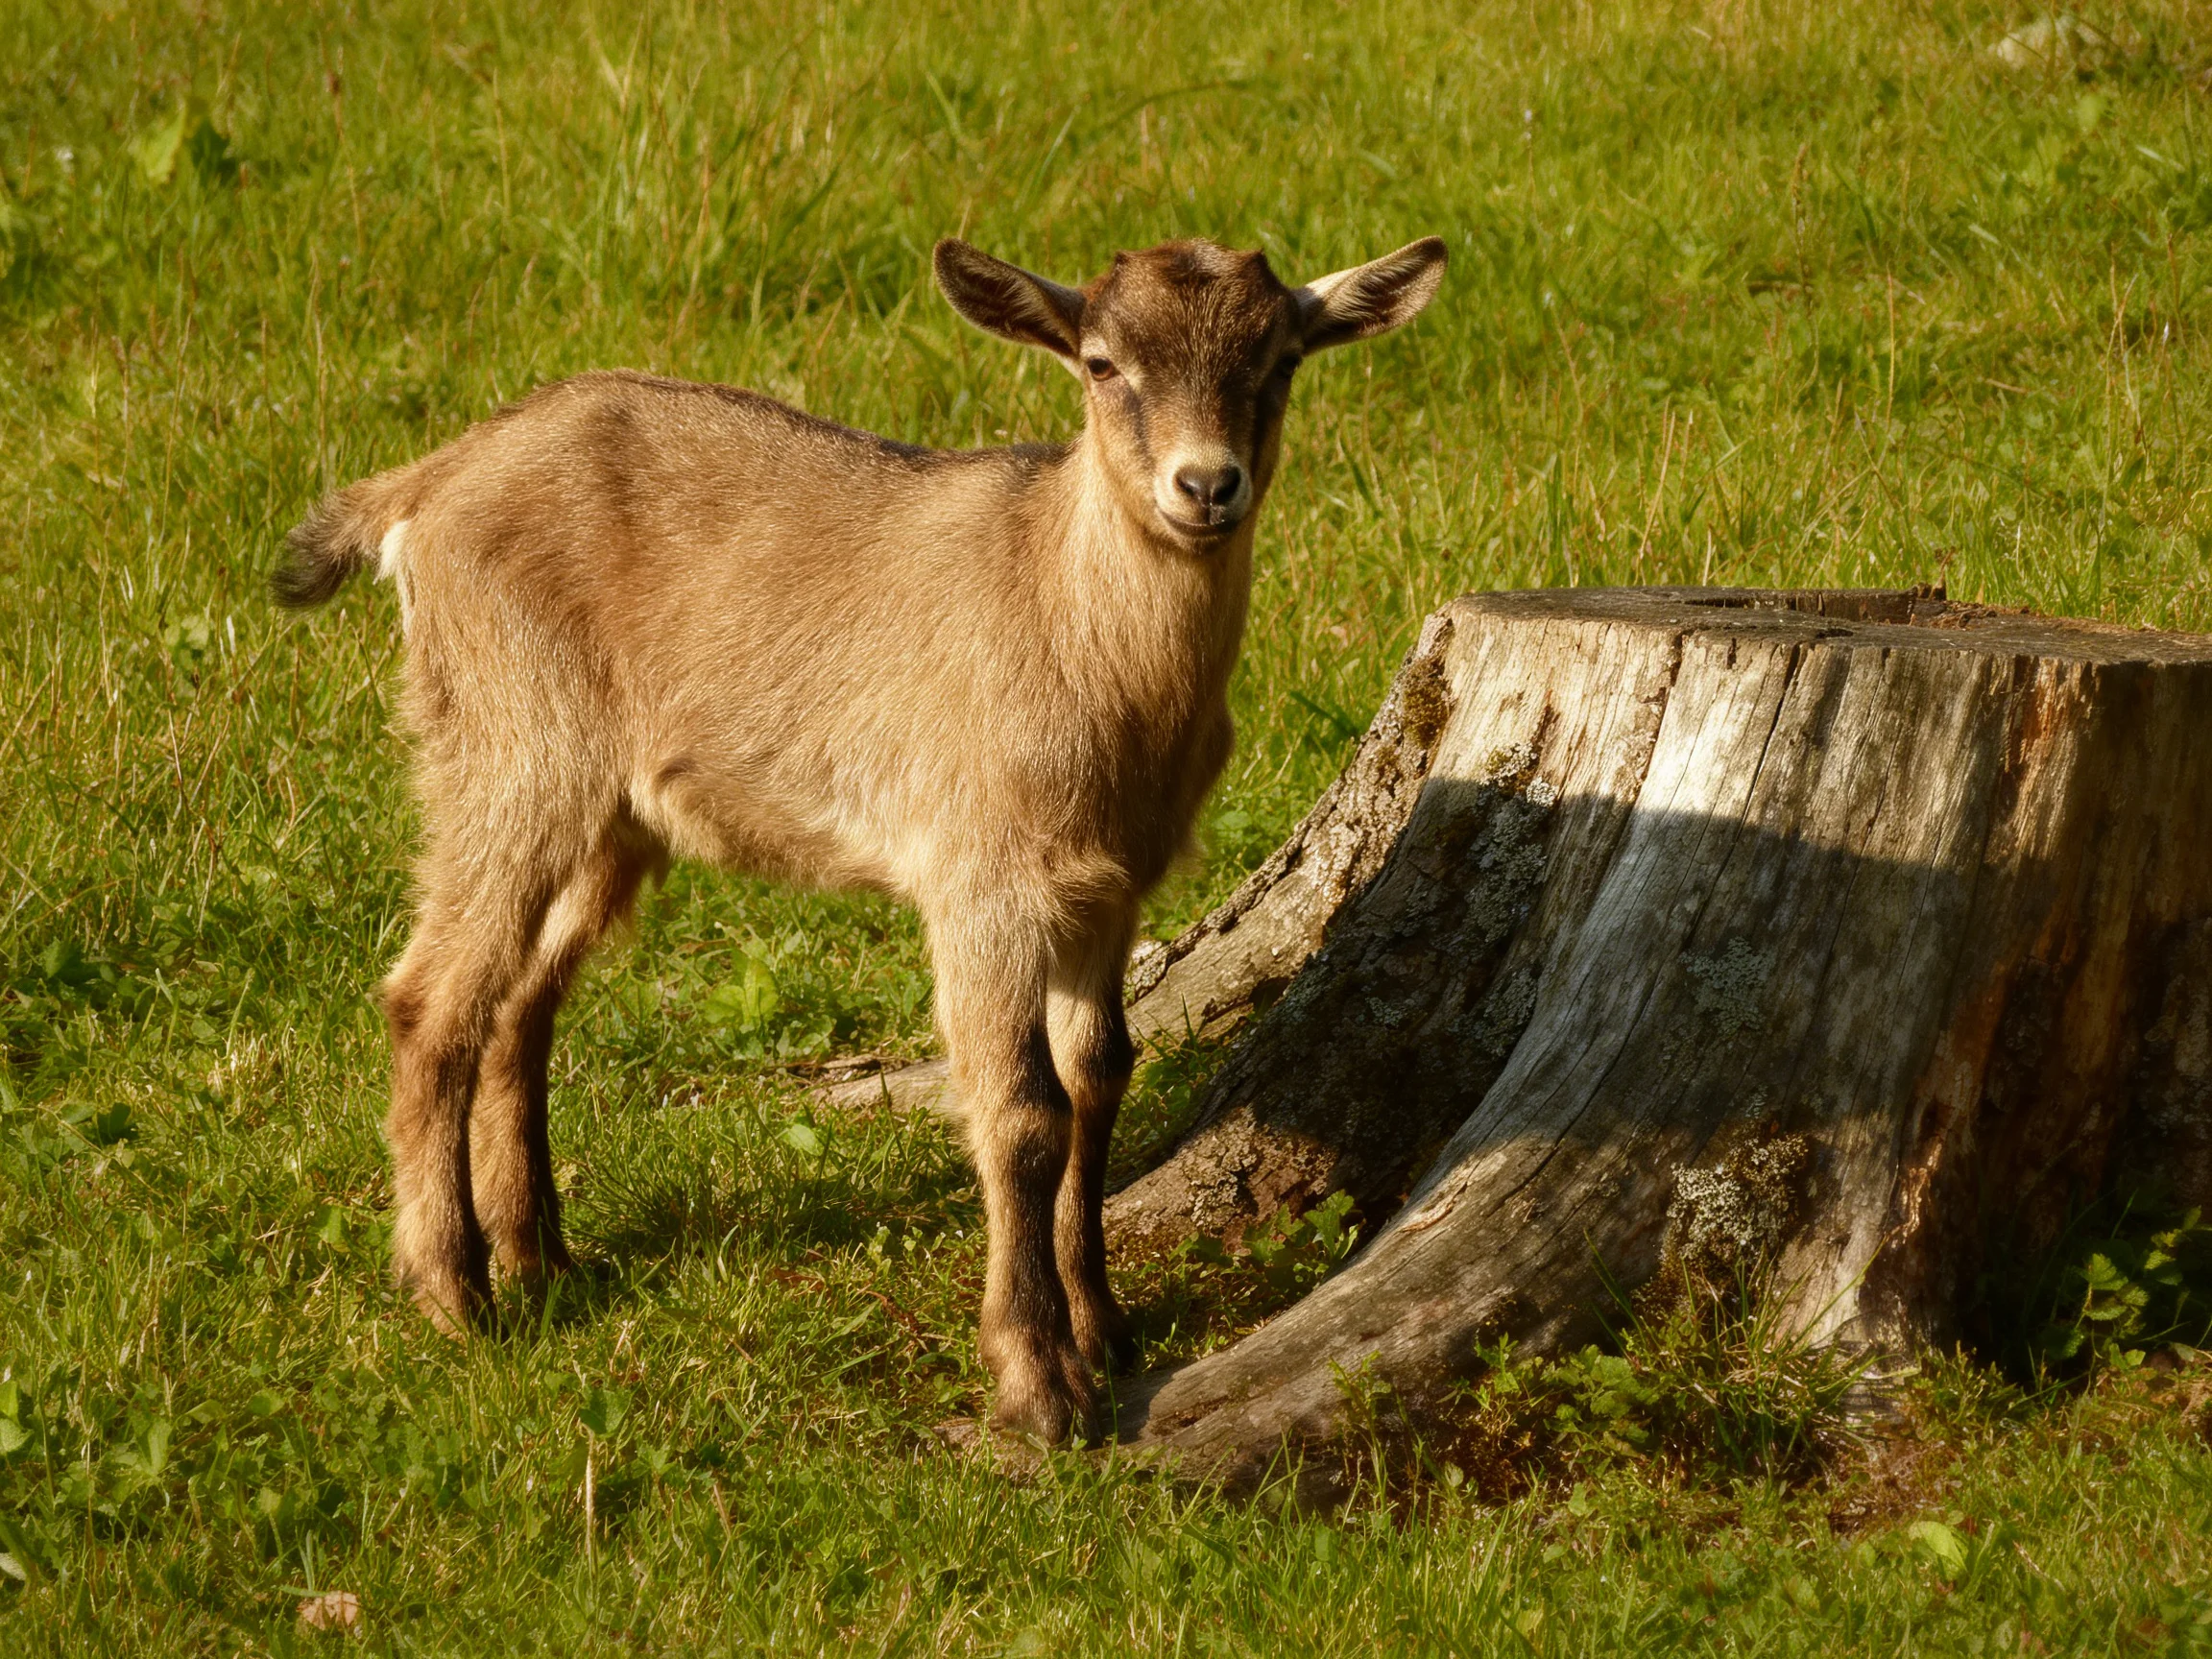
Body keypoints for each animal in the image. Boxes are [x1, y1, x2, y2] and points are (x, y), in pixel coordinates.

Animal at [273, 233, 1447, 1442]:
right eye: (1101, 361)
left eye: (1279, 360)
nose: (1206, 486)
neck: (1066, 617)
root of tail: (423, 487)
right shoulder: (982, 881)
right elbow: (1023, 1112)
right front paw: (1039, 1385)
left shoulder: (1108, 892)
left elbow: (1099, 1078)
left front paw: (1109, 1331)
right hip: (510, 754)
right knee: (430, 998)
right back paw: (452, 1293)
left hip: (612, 814)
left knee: (521, 1000)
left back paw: (541, 1261)